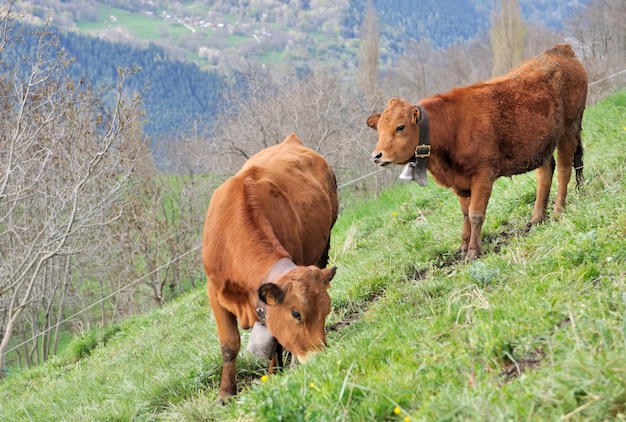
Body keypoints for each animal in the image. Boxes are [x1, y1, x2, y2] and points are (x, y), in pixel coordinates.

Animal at [201, 132, 336, 398]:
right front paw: (225, 394)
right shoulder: (214, 292)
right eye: (296, 314)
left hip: (324, 244)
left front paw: (274, 374)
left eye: (326, 311)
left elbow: (274, 341)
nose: (319, 358)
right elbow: (228, 344)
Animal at [366, 44, 584, 258]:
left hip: (569, 128)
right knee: (546, 172)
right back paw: (537, 218)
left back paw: (558, 211)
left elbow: (475, 214)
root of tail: (559, 49)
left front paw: (473, 251)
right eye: (379, 130)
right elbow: (465, 214)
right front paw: (463, 246)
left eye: (400, 127)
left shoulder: (483, 175)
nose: (376, 155)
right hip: (541, 143)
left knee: (564, 169)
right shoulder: (459, 182)